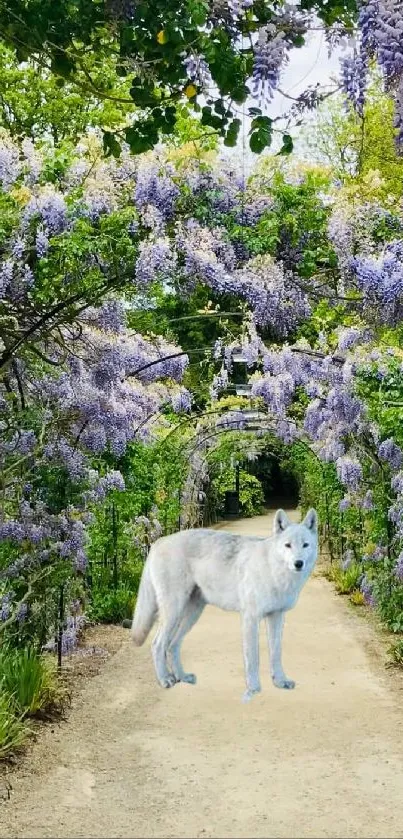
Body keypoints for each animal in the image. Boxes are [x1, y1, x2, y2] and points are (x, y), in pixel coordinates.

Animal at [132, 508, 318, 704]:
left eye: (305, 545)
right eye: (288, 545)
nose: (298, 563)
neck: (274, 571)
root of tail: (158, 542)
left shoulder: (277, 617)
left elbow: (276, 654)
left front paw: (280, 682)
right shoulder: (250, 619)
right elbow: (253, 659)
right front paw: (253, 690)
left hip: (191, 615)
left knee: (172, 645)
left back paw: (182, 677)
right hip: (174, 613)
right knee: (157, 644)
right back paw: (165, 679)